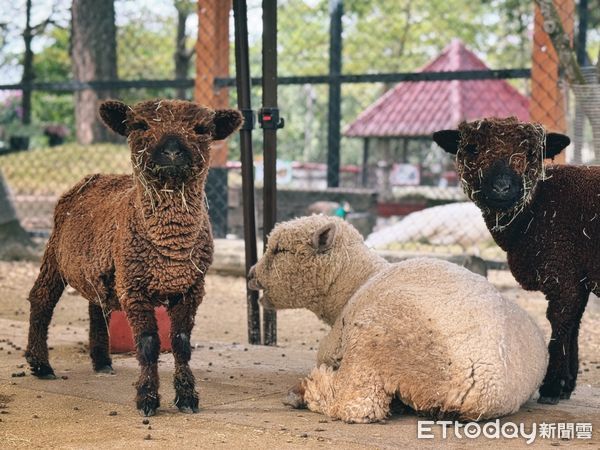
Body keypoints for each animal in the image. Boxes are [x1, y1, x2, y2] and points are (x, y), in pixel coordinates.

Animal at [24, 98, 244, 414]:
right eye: (140, 125)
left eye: (201, 129)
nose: (173, 152)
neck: (169, 248)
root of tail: (93, 178)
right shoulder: (134, 287)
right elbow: (149, 343)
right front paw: (147, 398)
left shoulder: (191, 288)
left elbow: (181, 342)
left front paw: (187, 398)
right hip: (55, 255)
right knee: (41, 299)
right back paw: (41, 365)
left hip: (101, 269)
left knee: (97, 307)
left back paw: (102, 362)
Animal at [246, 216, 548, 424]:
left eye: (279, 250)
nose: (250, 274)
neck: (356, 282)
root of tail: (479, 392)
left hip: (375, 337)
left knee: (356, 404)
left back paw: (302, 391)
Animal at [432, 118, 596, 406]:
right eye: (472, 148)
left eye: (531, 153)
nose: (501, 188)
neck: (535, 207)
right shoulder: (577, 275)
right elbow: (574, 324)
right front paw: (566, 385)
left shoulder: (561, 269)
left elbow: (560, 322)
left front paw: (552, 387)